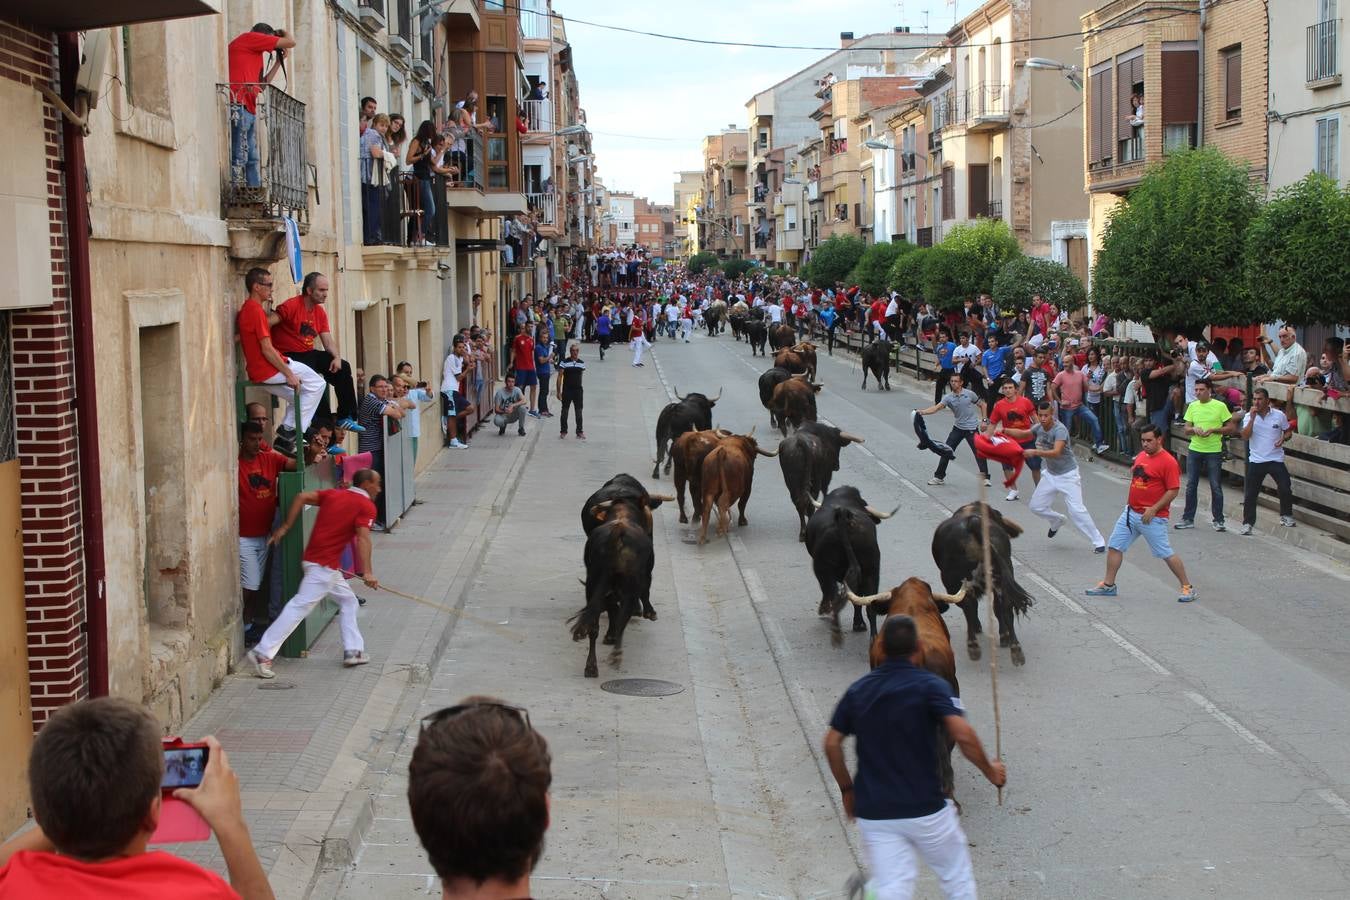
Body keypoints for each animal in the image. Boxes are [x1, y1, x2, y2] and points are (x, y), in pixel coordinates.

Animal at [799, 488, 896, 644]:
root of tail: (844, 515)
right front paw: (858, 623)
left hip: (824, 570)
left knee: (831, 593)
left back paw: (833, 624)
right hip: (872, 571)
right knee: (870, 604)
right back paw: (872, 637)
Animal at [928, 504, 1031, 666]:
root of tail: (972, 522)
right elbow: (997, 608)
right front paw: (1004, 635)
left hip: (953, 582)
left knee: (969, 606)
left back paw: (973, 646)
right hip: (1001, 576)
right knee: (1005, 606)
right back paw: (1015, 649)